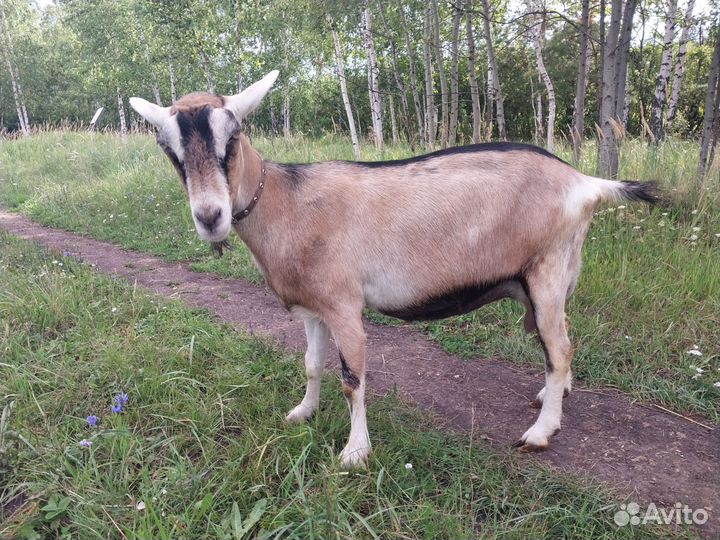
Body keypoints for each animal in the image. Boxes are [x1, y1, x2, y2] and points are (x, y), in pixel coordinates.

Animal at [130, 71, 657, 468]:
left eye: (234, 138)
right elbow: (311, 364)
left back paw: (540, 431)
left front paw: (354, 453)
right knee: (560, 342)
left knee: (559, 349)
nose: (210, 216)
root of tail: (585, 182)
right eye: (168, 149)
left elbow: (352, 379)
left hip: (546, 269)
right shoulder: (313, 307)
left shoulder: (344, 304)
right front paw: (302, 413)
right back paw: (552, 398)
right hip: (557, 274)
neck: (290, 202)